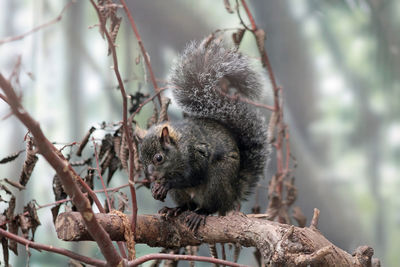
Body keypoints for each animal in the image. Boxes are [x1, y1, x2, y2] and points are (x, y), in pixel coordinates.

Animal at [138, 39, 268, 232]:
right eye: (141, 161)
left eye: (159, 158)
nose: (152, 177)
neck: (180, 148)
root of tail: (232, 196)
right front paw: (157, 187)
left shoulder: (198, 155)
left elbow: (193, 176)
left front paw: (166, 184)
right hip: (183, 195)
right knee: (188, 205)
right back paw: (175, 209)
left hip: (217, 180)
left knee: (210, 206)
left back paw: (200, 213)